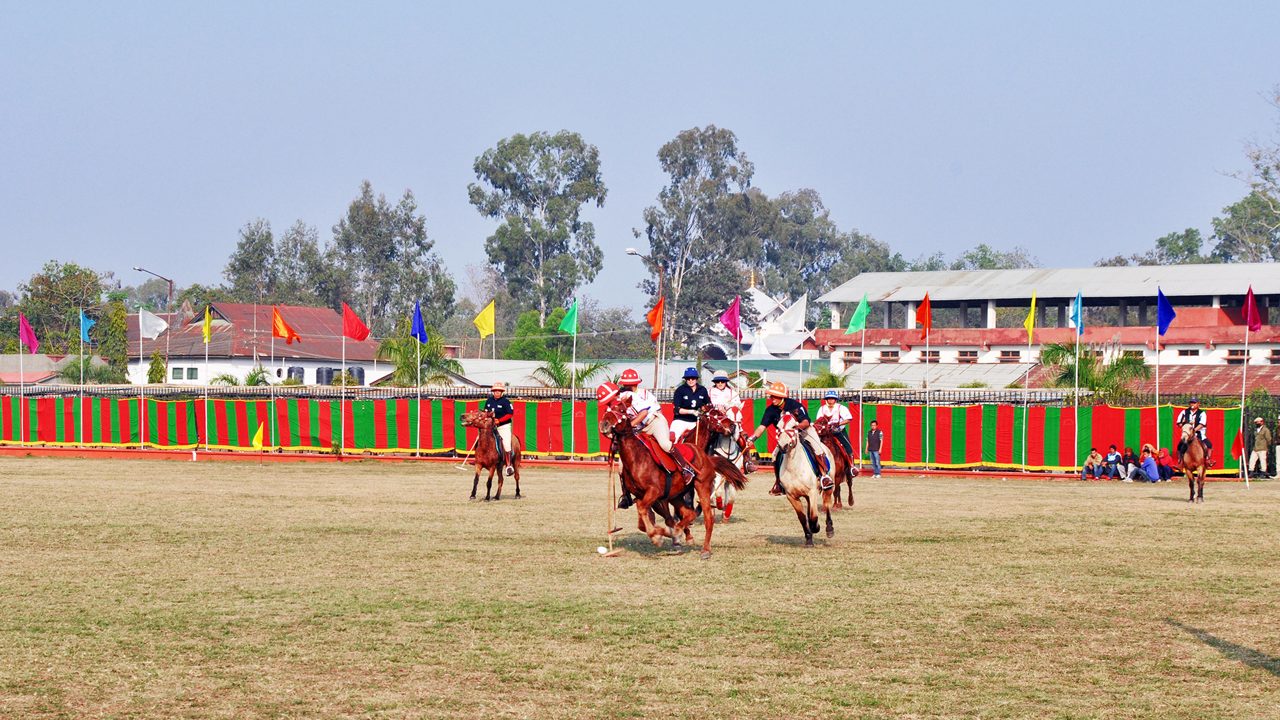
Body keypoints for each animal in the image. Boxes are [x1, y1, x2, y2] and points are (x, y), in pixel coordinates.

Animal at [601, 399, 747, 558]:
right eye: (714, 415)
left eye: (621, 410)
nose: (604, 424)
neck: (637, 458)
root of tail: (707, 457)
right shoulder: (645, 496)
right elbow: (645, 519)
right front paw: (665, 535)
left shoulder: (655, 492)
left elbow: (649, 514)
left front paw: (659, 536)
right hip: (675, 495)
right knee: (688, 514)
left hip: (702, 486)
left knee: (708, 517)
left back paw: (704, 549)